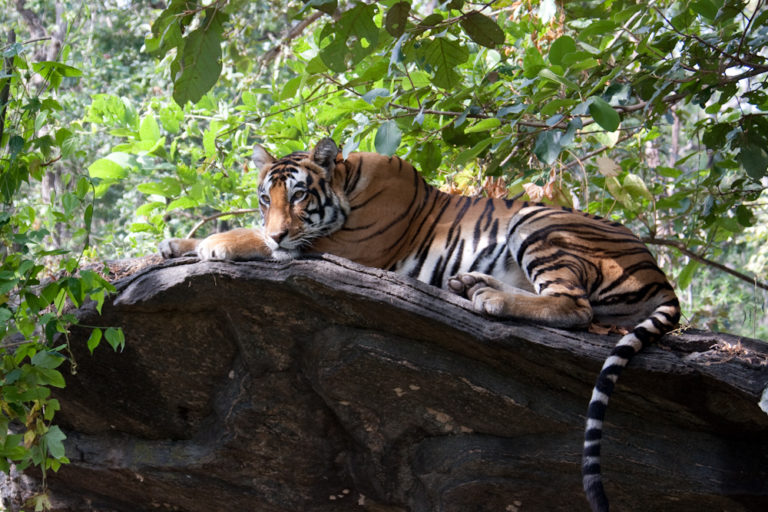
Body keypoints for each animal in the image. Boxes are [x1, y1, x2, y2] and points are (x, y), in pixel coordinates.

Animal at [156, 137, 680, 512]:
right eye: (266, 198)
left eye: (300, 195)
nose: (280, 229)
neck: (347, 183)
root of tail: (660, 275)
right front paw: (175, 245)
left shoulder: (340, 247)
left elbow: (258, 240)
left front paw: (216, 244)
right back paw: (470, 282)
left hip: (540, 221)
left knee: (574, 306)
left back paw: (488, 297)